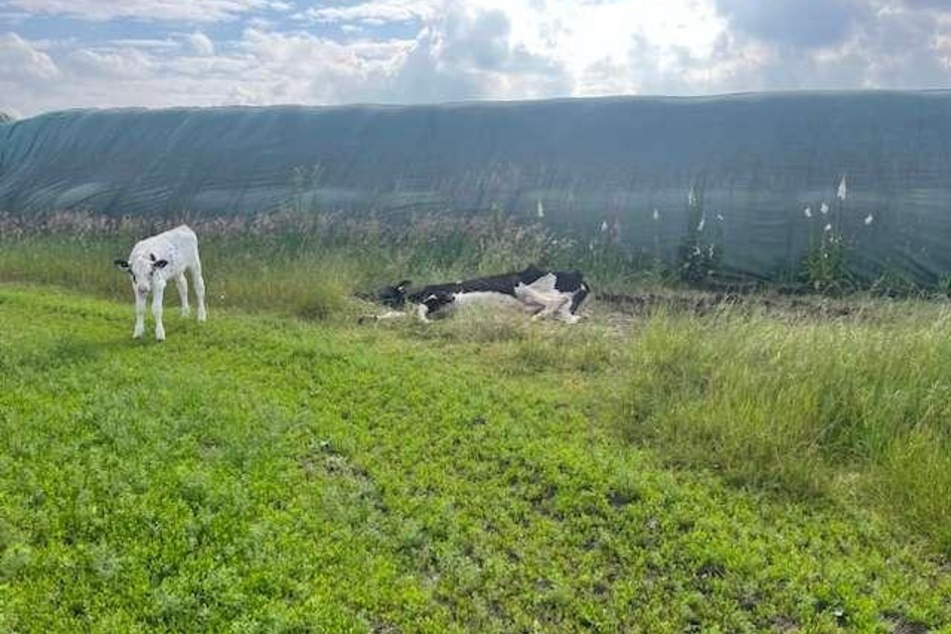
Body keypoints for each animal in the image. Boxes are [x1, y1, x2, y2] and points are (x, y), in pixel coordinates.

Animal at [376, 262, 592, 320]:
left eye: (386, 292)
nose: (370, 296)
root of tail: (578, 275)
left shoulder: (443, 295)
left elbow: (419, 311)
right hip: (564, 311)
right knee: (572, 317)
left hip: (519, 287)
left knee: (555, 301)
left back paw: (534, 318)